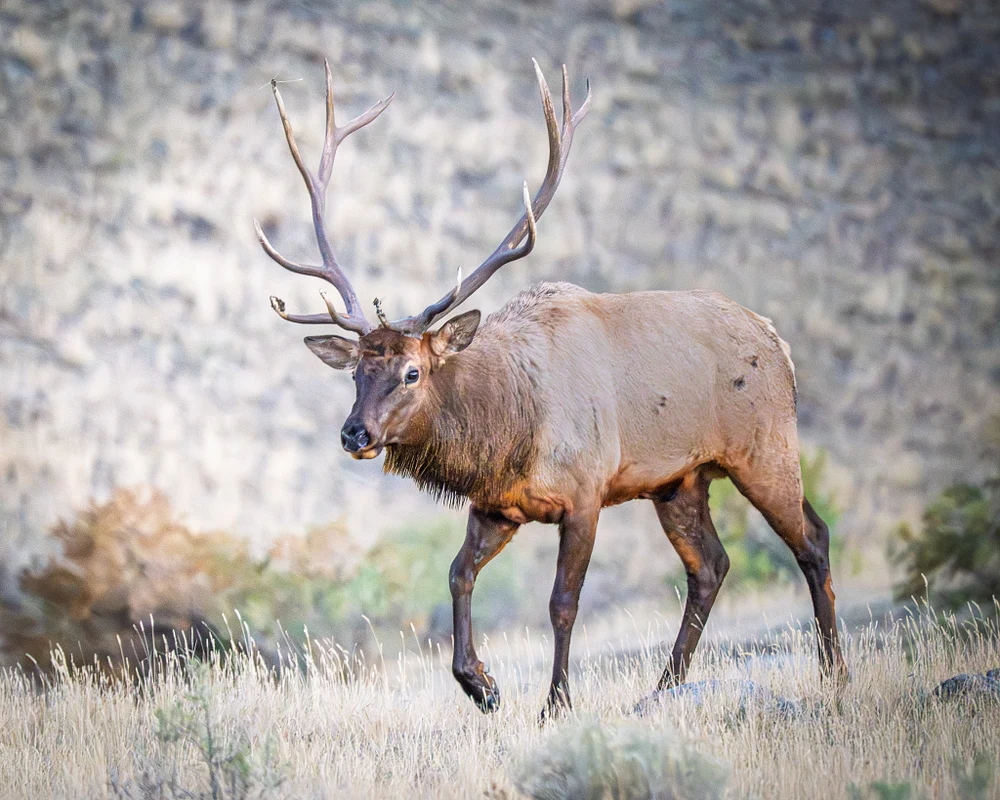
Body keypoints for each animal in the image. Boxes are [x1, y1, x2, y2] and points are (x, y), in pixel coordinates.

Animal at [254, 59, 847, 717]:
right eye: (357, 371)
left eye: (412, 371)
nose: (354, 433)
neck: (510, 429)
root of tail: (777, 341)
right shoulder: (496, 504)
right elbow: (457, 574)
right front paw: (480, 684)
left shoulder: (586, 492)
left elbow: (562, 603)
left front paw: (555, 703)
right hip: (680, 479)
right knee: (712, 565)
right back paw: (666, 684)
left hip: (764, 448)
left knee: (813, 539)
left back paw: (834, 673)